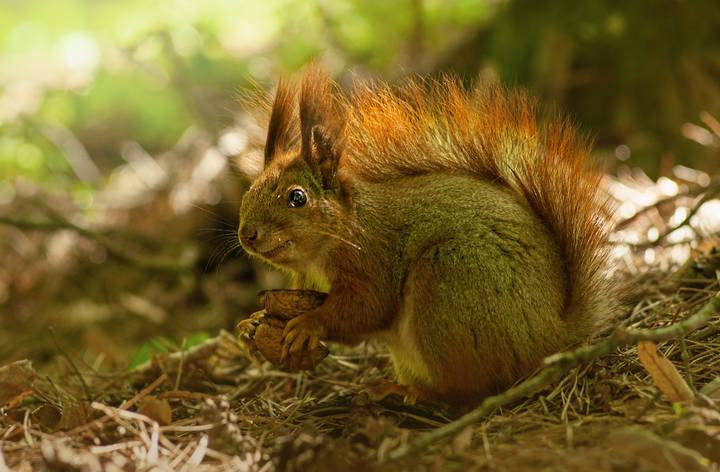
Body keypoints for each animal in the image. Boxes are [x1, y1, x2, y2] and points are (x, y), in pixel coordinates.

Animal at [237, 65, 618, 405]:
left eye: (297, 197)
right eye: (248, 192)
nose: (246, 235)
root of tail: (551, 334)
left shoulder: (372, 258)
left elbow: (367, 308)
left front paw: (309, 323)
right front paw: (253, 323)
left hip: (448, 287)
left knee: (471, 394)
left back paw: (414, 393)